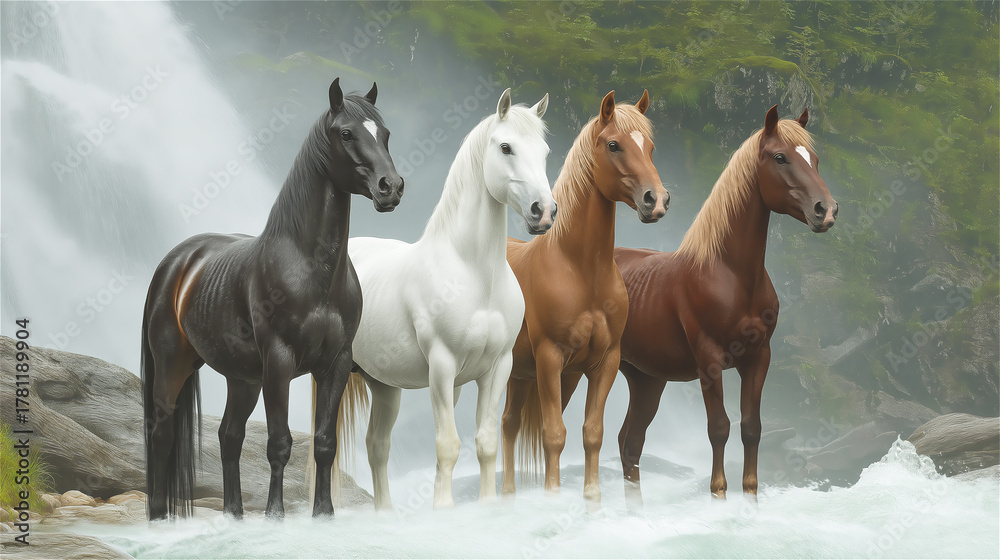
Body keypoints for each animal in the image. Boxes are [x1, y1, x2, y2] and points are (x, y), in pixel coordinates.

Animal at [141, 78, 403, 521]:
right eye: (346, 133)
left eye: (384, 134)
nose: (391, 188)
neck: (310, 270)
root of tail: (176, 262)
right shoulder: (279, 363)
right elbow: (279, 443)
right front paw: (275, 516)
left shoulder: (336, 364)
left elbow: (324, 443)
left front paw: (323, 514)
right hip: (172, 364)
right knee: (162, 433)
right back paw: (160, 517)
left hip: (242, 379)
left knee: (229, 436)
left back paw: (233, 514)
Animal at [321, 88, 556, 509]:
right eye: (506, 147)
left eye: (544, 151)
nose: (543, 212)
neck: (474, 274)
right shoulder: (442, 368)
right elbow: (448, 445)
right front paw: (442, 509)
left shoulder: (498, 368)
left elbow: (486, 443)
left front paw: (488, 506)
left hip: (383, 385)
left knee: (377, 445)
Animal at [501, 90, 670, 505]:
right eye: (613, 145)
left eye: (650, 147)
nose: (655, 201)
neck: (581, 273)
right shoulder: (549, 359)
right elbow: (553, 434)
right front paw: (553, 498)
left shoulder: (602, 363)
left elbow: (592, 433)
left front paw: (591, 501)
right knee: (508, 426)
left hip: (532, 375)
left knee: (510, 424)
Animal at [613, 105, 838, 506]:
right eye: (780, 157)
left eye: (814, 158)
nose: (825, 211)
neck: (730, 276)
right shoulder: (709, 362)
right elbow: (718, 428)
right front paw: (719, 496)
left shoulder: (759, 359)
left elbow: (751, 428)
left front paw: (750, 497)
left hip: (646, 380)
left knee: (630, 442)